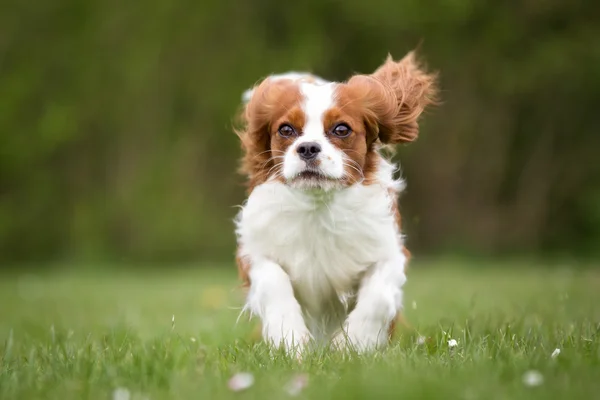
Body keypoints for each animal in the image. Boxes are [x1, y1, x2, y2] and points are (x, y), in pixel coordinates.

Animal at [233, 51, 436, 358]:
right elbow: (273, 281)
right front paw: (290, 340)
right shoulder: (255, 251)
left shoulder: (389, 251)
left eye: (341, 129)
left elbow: (378, 295)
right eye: (286, 129)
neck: (319, 206)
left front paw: (353, 344)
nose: (307, 148)